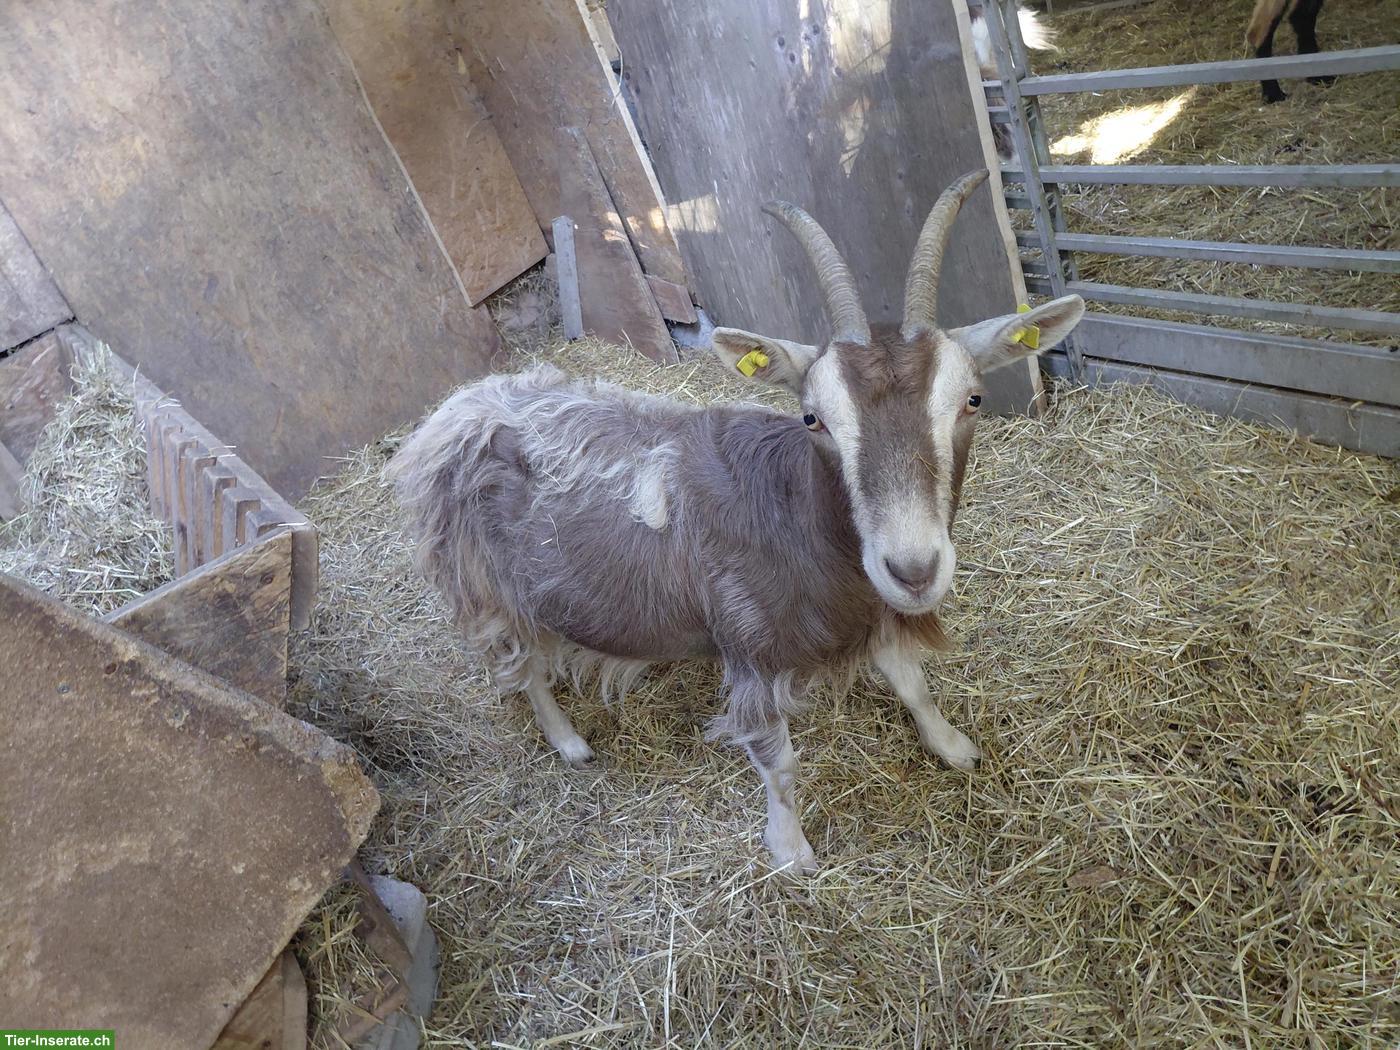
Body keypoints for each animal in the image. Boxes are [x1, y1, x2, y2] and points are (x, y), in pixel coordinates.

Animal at [389, 170, 1086, 874]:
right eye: (812, 417)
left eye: (972, 399)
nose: (913, 569)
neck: (789, 512)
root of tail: (455, 410)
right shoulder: (748, 647)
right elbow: (777, 762)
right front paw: (792, 852)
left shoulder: (867, 605)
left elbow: (911, 682)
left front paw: (953, 746)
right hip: (487, 585)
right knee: (525, 666)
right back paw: (569, 743)